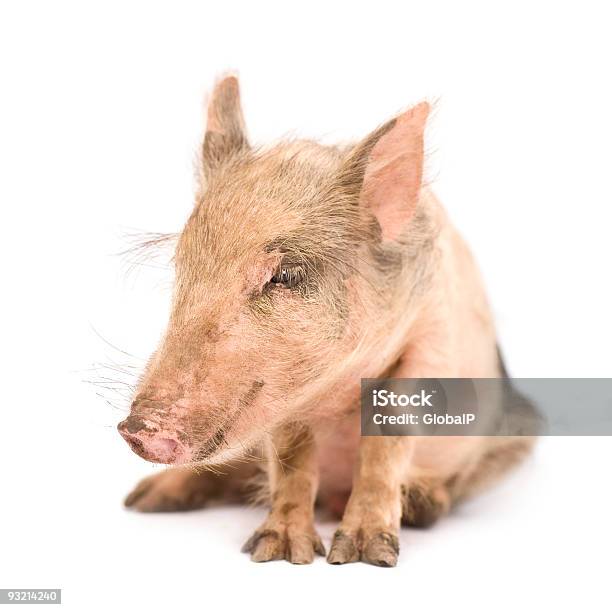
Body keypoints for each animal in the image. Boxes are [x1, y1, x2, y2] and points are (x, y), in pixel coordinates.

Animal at [118, 75, 536, 564]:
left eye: (284, 276)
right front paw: (278, 553)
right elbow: (293, 456)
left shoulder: (430, 340)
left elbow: (386, 437)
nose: (139, 428)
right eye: (183, 266)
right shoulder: (284, 390)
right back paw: (143, 500)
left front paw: (364, 555)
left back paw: (420, 504)